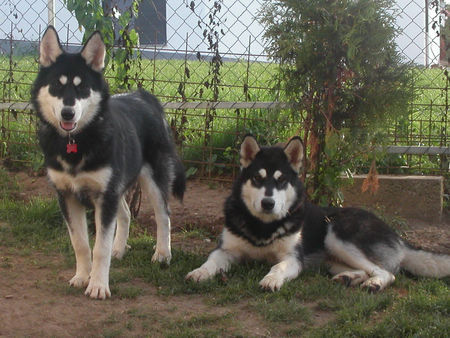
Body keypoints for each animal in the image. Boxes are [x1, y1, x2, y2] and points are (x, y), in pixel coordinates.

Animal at [32, 27, 185, 300]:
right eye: (57, 86)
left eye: (82, 88)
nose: (68, 113)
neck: (77, 141)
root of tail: (144, 96)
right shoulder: (68, 196)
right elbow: (81, 244)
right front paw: (82, 276)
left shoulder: (105, 197)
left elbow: (99, 248)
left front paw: (98, 285)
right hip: (119, 187)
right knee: (126, 214)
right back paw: (119, 249)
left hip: (153, 180)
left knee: (163, 215)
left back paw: (162, 253)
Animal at [185, 136, 446, 292]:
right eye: (258, 178)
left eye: (281, 180)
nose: (268, 203)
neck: (264, 226)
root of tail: (397, 236)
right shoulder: (226, 250)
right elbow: (210, 262)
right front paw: (199, 272)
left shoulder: (293, 258)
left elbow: (277, 267)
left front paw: (271, 279)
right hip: (331, 258)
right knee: (366, 269)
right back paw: (349, 278)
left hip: (336, 233)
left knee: (387, 273)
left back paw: (373, 283)